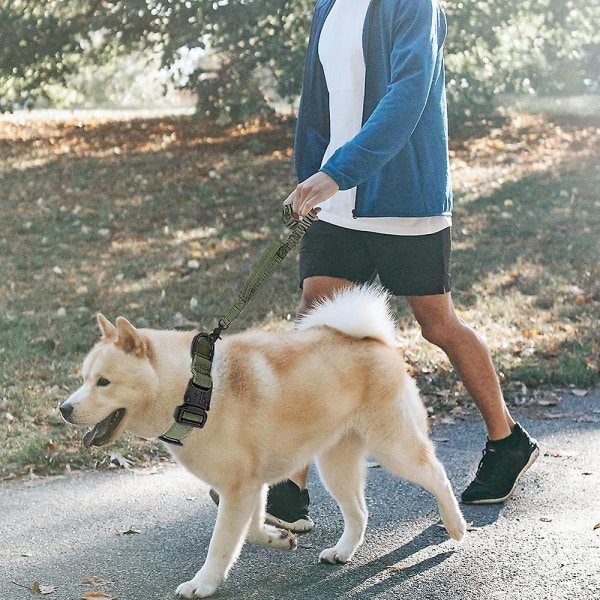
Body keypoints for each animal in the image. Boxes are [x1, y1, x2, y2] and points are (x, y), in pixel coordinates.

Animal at [61, 286, 466, 596]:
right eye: (84, 379)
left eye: (103, 382)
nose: (64, 408)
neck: (193, 392)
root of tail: (374, 340)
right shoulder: (248, 487)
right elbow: (252, 530)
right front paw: (279, 539)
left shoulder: (239, 489)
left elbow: (222, 545)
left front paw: (203, 584)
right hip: (335, 466)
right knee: (360, 513)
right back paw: (342, 551)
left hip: (393, 447)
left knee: (437, 474)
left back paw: (456, 525)